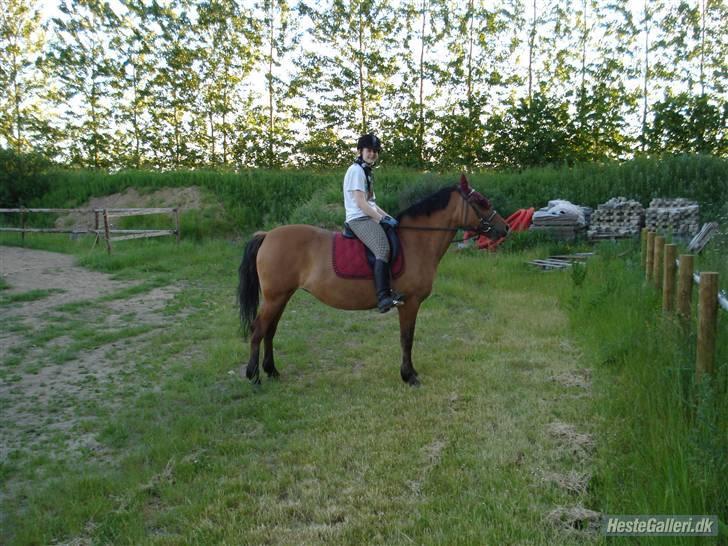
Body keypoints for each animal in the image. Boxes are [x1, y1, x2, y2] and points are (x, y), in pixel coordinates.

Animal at [237, 174, 509, 386]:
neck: (416, 242)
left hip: (282, 296)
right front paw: (409, 376)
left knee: (270, 330)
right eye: (482, 202)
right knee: (258, 330)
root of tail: (268, 235)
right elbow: (407, 339)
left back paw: (272, 371)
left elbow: (407, 339)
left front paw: (410, 373)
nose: (505, 228)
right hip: (275, 297)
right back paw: (254, 376)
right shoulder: (410, 303)